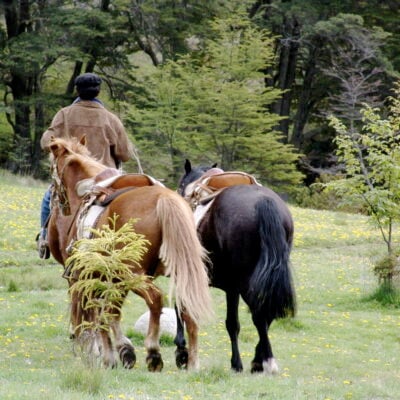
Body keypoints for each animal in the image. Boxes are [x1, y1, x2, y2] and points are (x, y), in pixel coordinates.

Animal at [47, 136, 212, 370]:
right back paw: (192, 362)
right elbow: (111, 312)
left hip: (132, 274)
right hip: (181, 270)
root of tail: (163, 198)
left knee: (155, 299)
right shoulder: (113, 280)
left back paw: (153, 352)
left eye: (51, 169)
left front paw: (106, 353)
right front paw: (121, 351)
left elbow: (99, 315)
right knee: (186, 305)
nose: (59, 203)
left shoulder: (86, 278)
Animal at [177, 161, 296, 374]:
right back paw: (259, 361)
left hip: (244, 282)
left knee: (258, 315)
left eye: (181, 184)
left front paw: (182, 352)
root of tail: (264, 202)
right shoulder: (233, 287)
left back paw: (266, 362)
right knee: (266, 313)